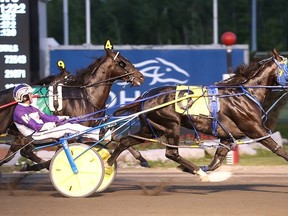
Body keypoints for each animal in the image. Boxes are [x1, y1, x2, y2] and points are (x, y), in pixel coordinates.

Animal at [0, 46, 144, 172]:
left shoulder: (92, 127)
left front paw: (141, 158)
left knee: (17, 153)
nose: (141, 76)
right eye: (122, 63)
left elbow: (114, 136)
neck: (87, 96)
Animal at [107, 48, 288, 181]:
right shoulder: (255, 129)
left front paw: (200, 169)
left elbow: (216, 161)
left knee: (125, 141)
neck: (247, 94)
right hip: (171, 125)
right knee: (171, 153)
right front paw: (198, 171)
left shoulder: (227, 137)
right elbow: (279, 150)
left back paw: (109, 163)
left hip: (151, 129)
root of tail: (144, 96)